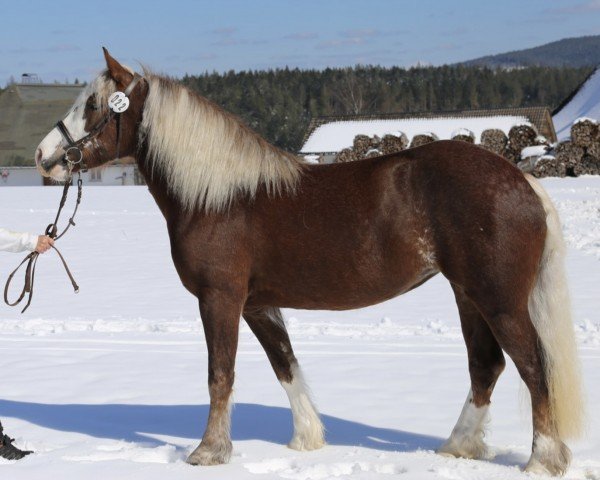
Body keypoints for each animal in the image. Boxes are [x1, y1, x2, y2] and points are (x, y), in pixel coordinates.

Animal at [35, 47, 584, 474]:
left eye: (92, 104)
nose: (44, 156)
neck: (219, 197)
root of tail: (522, 181)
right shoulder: (257, 304)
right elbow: (286, 365)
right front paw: (306, 440)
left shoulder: (220, 298)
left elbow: (220, 373)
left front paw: (209, 452)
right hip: (468, 293)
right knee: (486, 365)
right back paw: (457, 447)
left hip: (498, 299)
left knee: (533, 366)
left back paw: (542, 460)